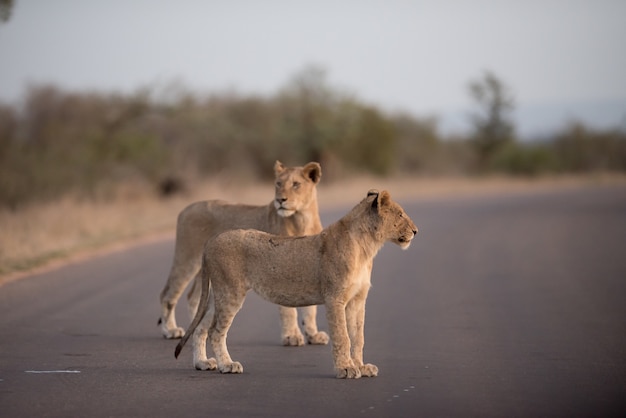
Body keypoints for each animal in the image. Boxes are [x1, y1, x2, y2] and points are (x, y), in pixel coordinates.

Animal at [158, 160, 330, 346]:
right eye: (278, 184)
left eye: (296, 184)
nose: (280, 200)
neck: (302, 219)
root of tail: (187, 208)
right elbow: (288, 310)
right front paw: (291, 337)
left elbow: (310, 308)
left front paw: (313, 335)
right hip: (188, 258)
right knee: (168, 294)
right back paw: (171, 331)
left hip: (205, 268)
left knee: (193, 297)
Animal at [173, 189, 416, 378]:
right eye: (400, 214)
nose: (416, 231)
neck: (367, 248)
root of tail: (211, 241)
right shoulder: (335, 298)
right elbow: (343, 336)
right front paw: (346, 369)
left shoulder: (357, 300)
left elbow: (358, 337)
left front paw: (362, 367)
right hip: (231, 292)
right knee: (216, 332)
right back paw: (227, 365)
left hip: (218, 295)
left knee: (201, 328)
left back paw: (203, 363)